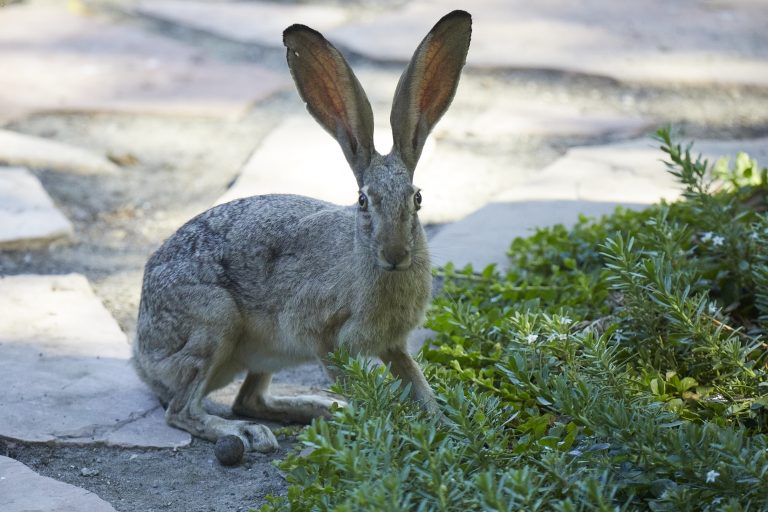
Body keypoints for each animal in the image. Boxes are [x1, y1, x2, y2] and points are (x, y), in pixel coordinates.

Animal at [132, 10, 472, 452]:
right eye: (363, 201)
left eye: (416, 198)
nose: (395, 254)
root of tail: (142, 357)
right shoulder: (326, 338)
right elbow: (359, 387)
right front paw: (385, 426)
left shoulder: (393, 345)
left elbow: (417, 382)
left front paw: (445, 427)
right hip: (215, 325)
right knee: (183, 410)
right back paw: (246, 433)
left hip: (268, 354)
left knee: (248, 399)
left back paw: (317, 410)